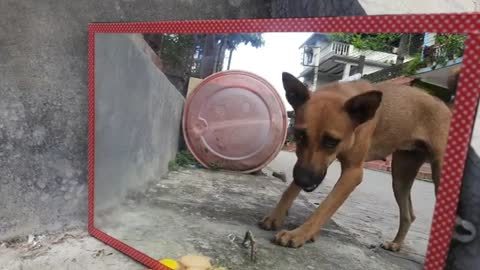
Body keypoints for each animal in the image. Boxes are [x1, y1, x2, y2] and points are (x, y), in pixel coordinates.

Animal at [260, 71, 452, 251]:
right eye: (300, 135)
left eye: (331, 142)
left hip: (439, 175)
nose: (304, 180)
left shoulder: (352, 173)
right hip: (400, 178)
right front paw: (276, 216)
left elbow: (325, 206)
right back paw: (396, 244)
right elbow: (289, 191)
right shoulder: (310, 165)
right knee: (408, 214)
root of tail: (445, 106)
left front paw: (300, 233)